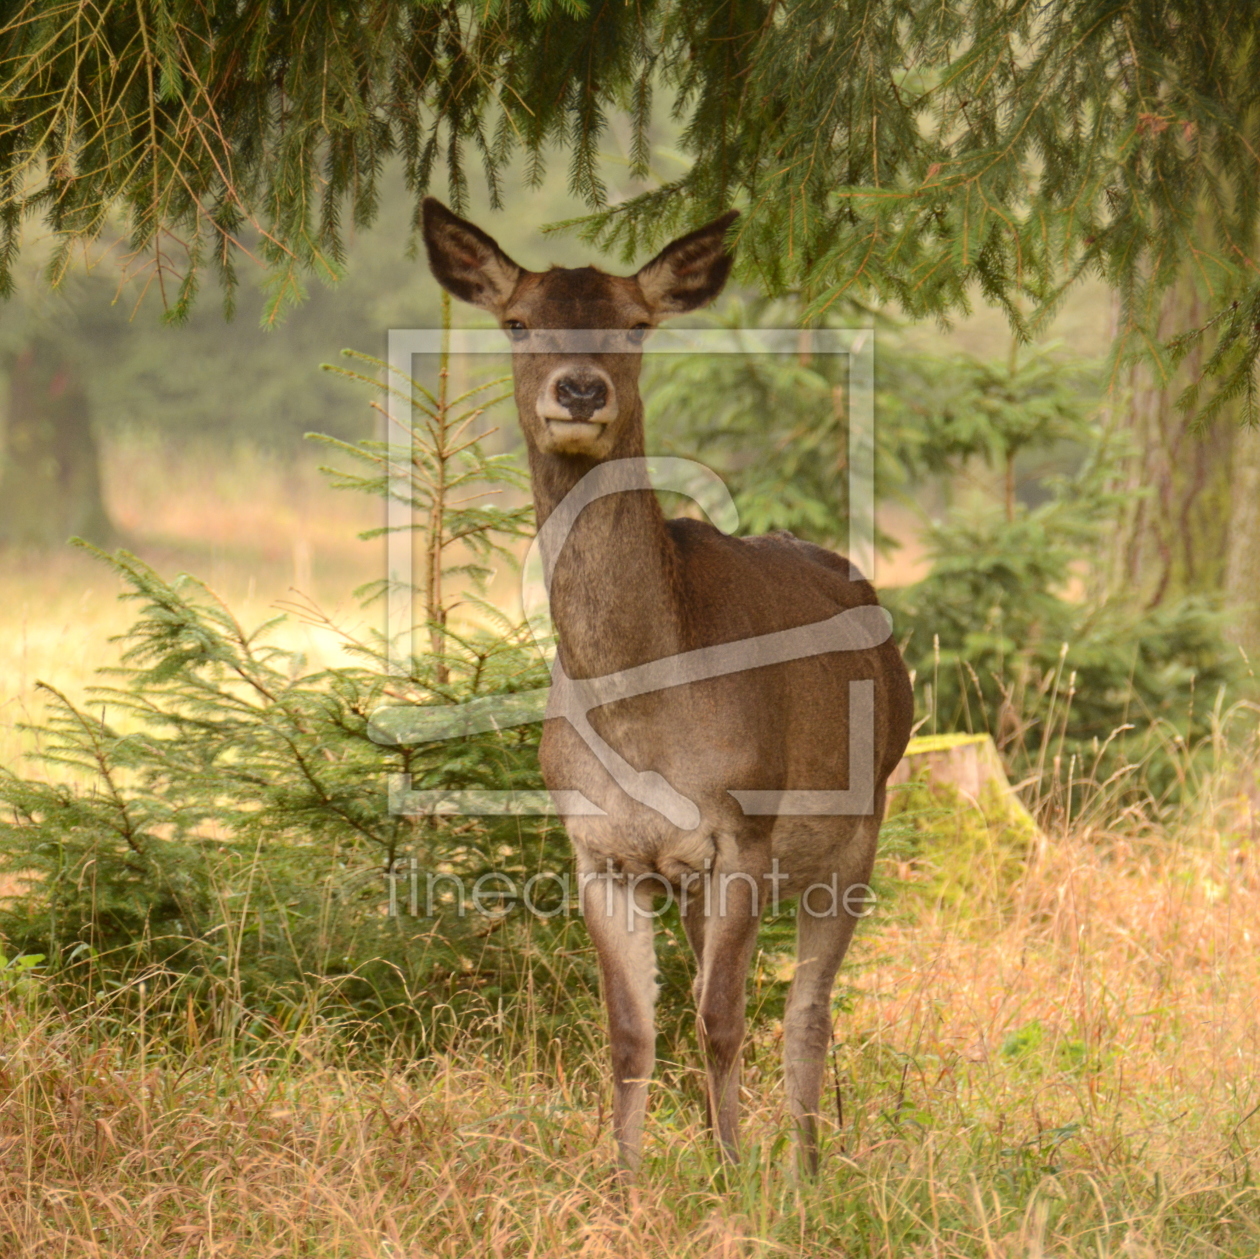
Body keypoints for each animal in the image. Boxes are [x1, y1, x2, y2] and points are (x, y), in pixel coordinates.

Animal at [423, 199, 917, 1179]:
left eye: (635, 324)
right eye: (517, 322)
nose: (580, 392)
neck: (640, 710)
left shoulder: (742, 830)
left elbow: (723, 1020)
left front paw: (733, 1178)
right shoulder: (599, 848)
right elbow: (630, 1032)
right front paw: (625, 1182)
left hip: (856, 833)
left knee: (806, 1012)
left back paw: (806, 1169)